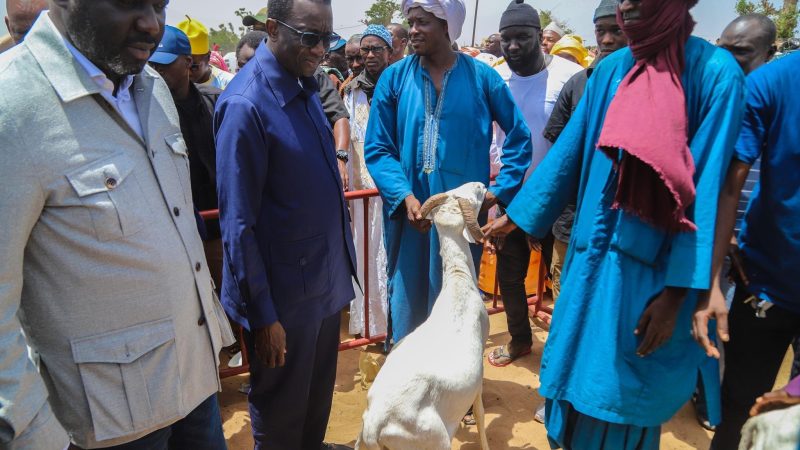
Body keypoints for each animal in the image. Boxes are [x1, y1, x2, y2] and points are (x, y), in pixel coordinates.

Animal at [358, 182, 494, 450]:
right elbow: (481, 413)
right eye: (469, 198)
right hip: (435, 441)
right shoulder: (480, 370)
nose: (482, 184)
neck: (458, 281)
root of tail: (374, 426)